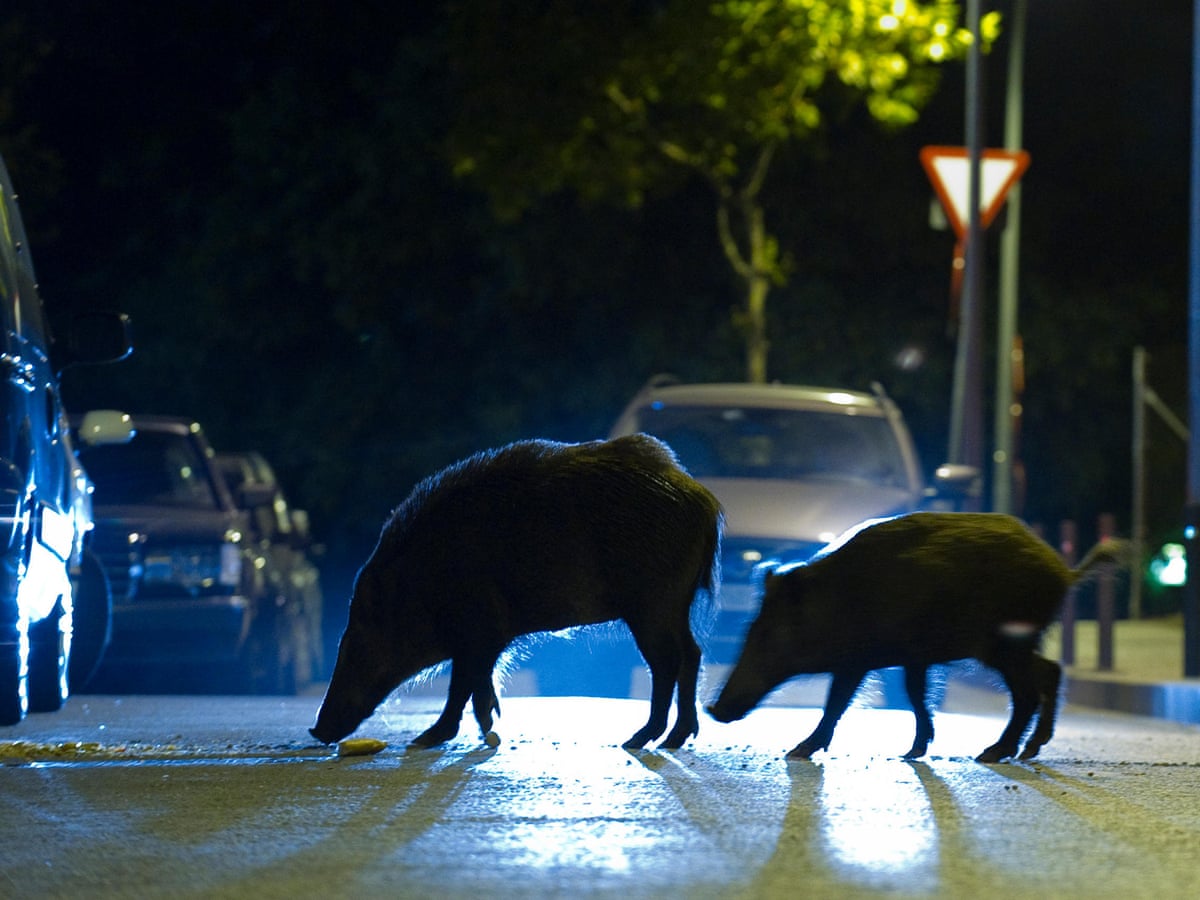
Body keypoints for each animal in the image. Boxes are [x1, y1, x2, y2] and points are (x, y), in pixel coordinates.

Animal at [310, 434, 722, 751]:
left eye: (359, 645)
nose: (317, 729)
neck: (424, 583)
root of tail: (704, 501)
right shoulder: (487, 638)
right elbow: (478, 684)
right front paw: (489, 729)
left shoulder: (479, 629)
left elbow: (462, 686)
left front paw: (427, 739)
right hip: (672, 604)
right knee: (691, 654)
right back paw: (674, 739)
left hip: (652, 603)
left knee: (667, 662)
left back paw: (638, 740)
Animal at [707, 512, 1122, 763]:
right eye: (750, 630)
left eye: (768, 634)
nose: (713, 708)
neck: (836, 602)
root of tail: (1064, 572)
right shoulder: (912, 657)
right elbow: (916, 696)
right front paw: (912, 752)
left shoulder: (860, 659)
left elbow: (838, 702)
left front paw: (797, 751)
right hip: (1014, 645)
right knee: (1049, 672)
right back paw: (1024, 752)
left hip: (1004, 645)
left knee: (1029, 692)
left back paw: (993, 753)